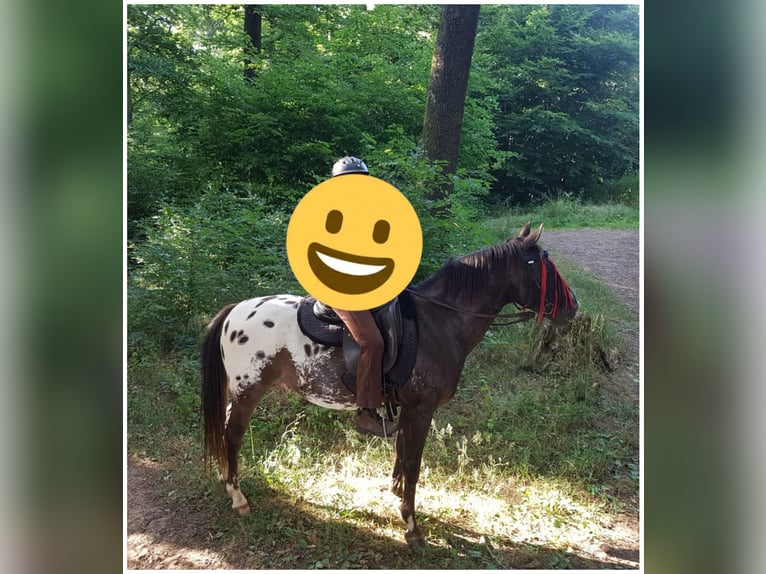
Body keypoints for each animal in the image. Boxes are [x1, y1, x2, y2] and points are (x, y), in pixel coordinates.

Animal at [201, 222, 580, 548]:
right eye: (543, 266)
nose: (572, 308)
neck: (440, 322)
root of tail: (235, 310)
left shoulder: (407, 409)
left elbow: (401, 457)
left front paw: (398, 499)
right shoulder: (421, 409)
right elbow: (413, 463)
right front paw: (412, 526)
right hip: (249, 391)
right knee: (232, 436)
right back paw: (237, 496)